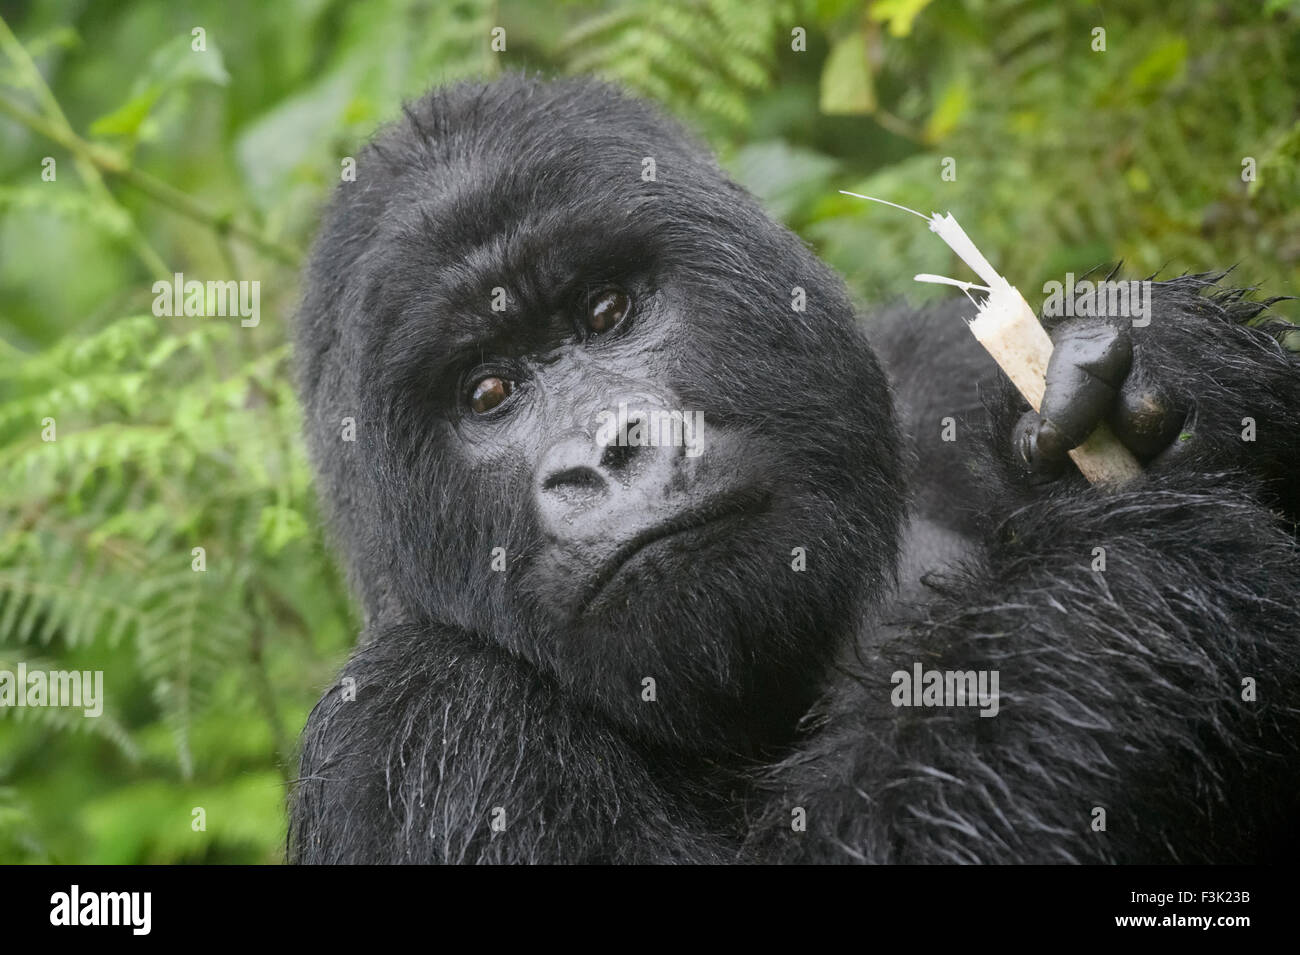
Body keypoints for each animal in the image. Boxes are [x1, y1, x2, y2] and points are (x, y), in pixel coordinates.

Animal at [289, 74, 1300, 867]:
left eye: (606, 310)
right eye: (489, 392)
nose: (610, 449)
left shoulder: (932, 369)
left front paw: (1190, 378)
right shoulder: (415, 726)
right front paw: (1129, 585)